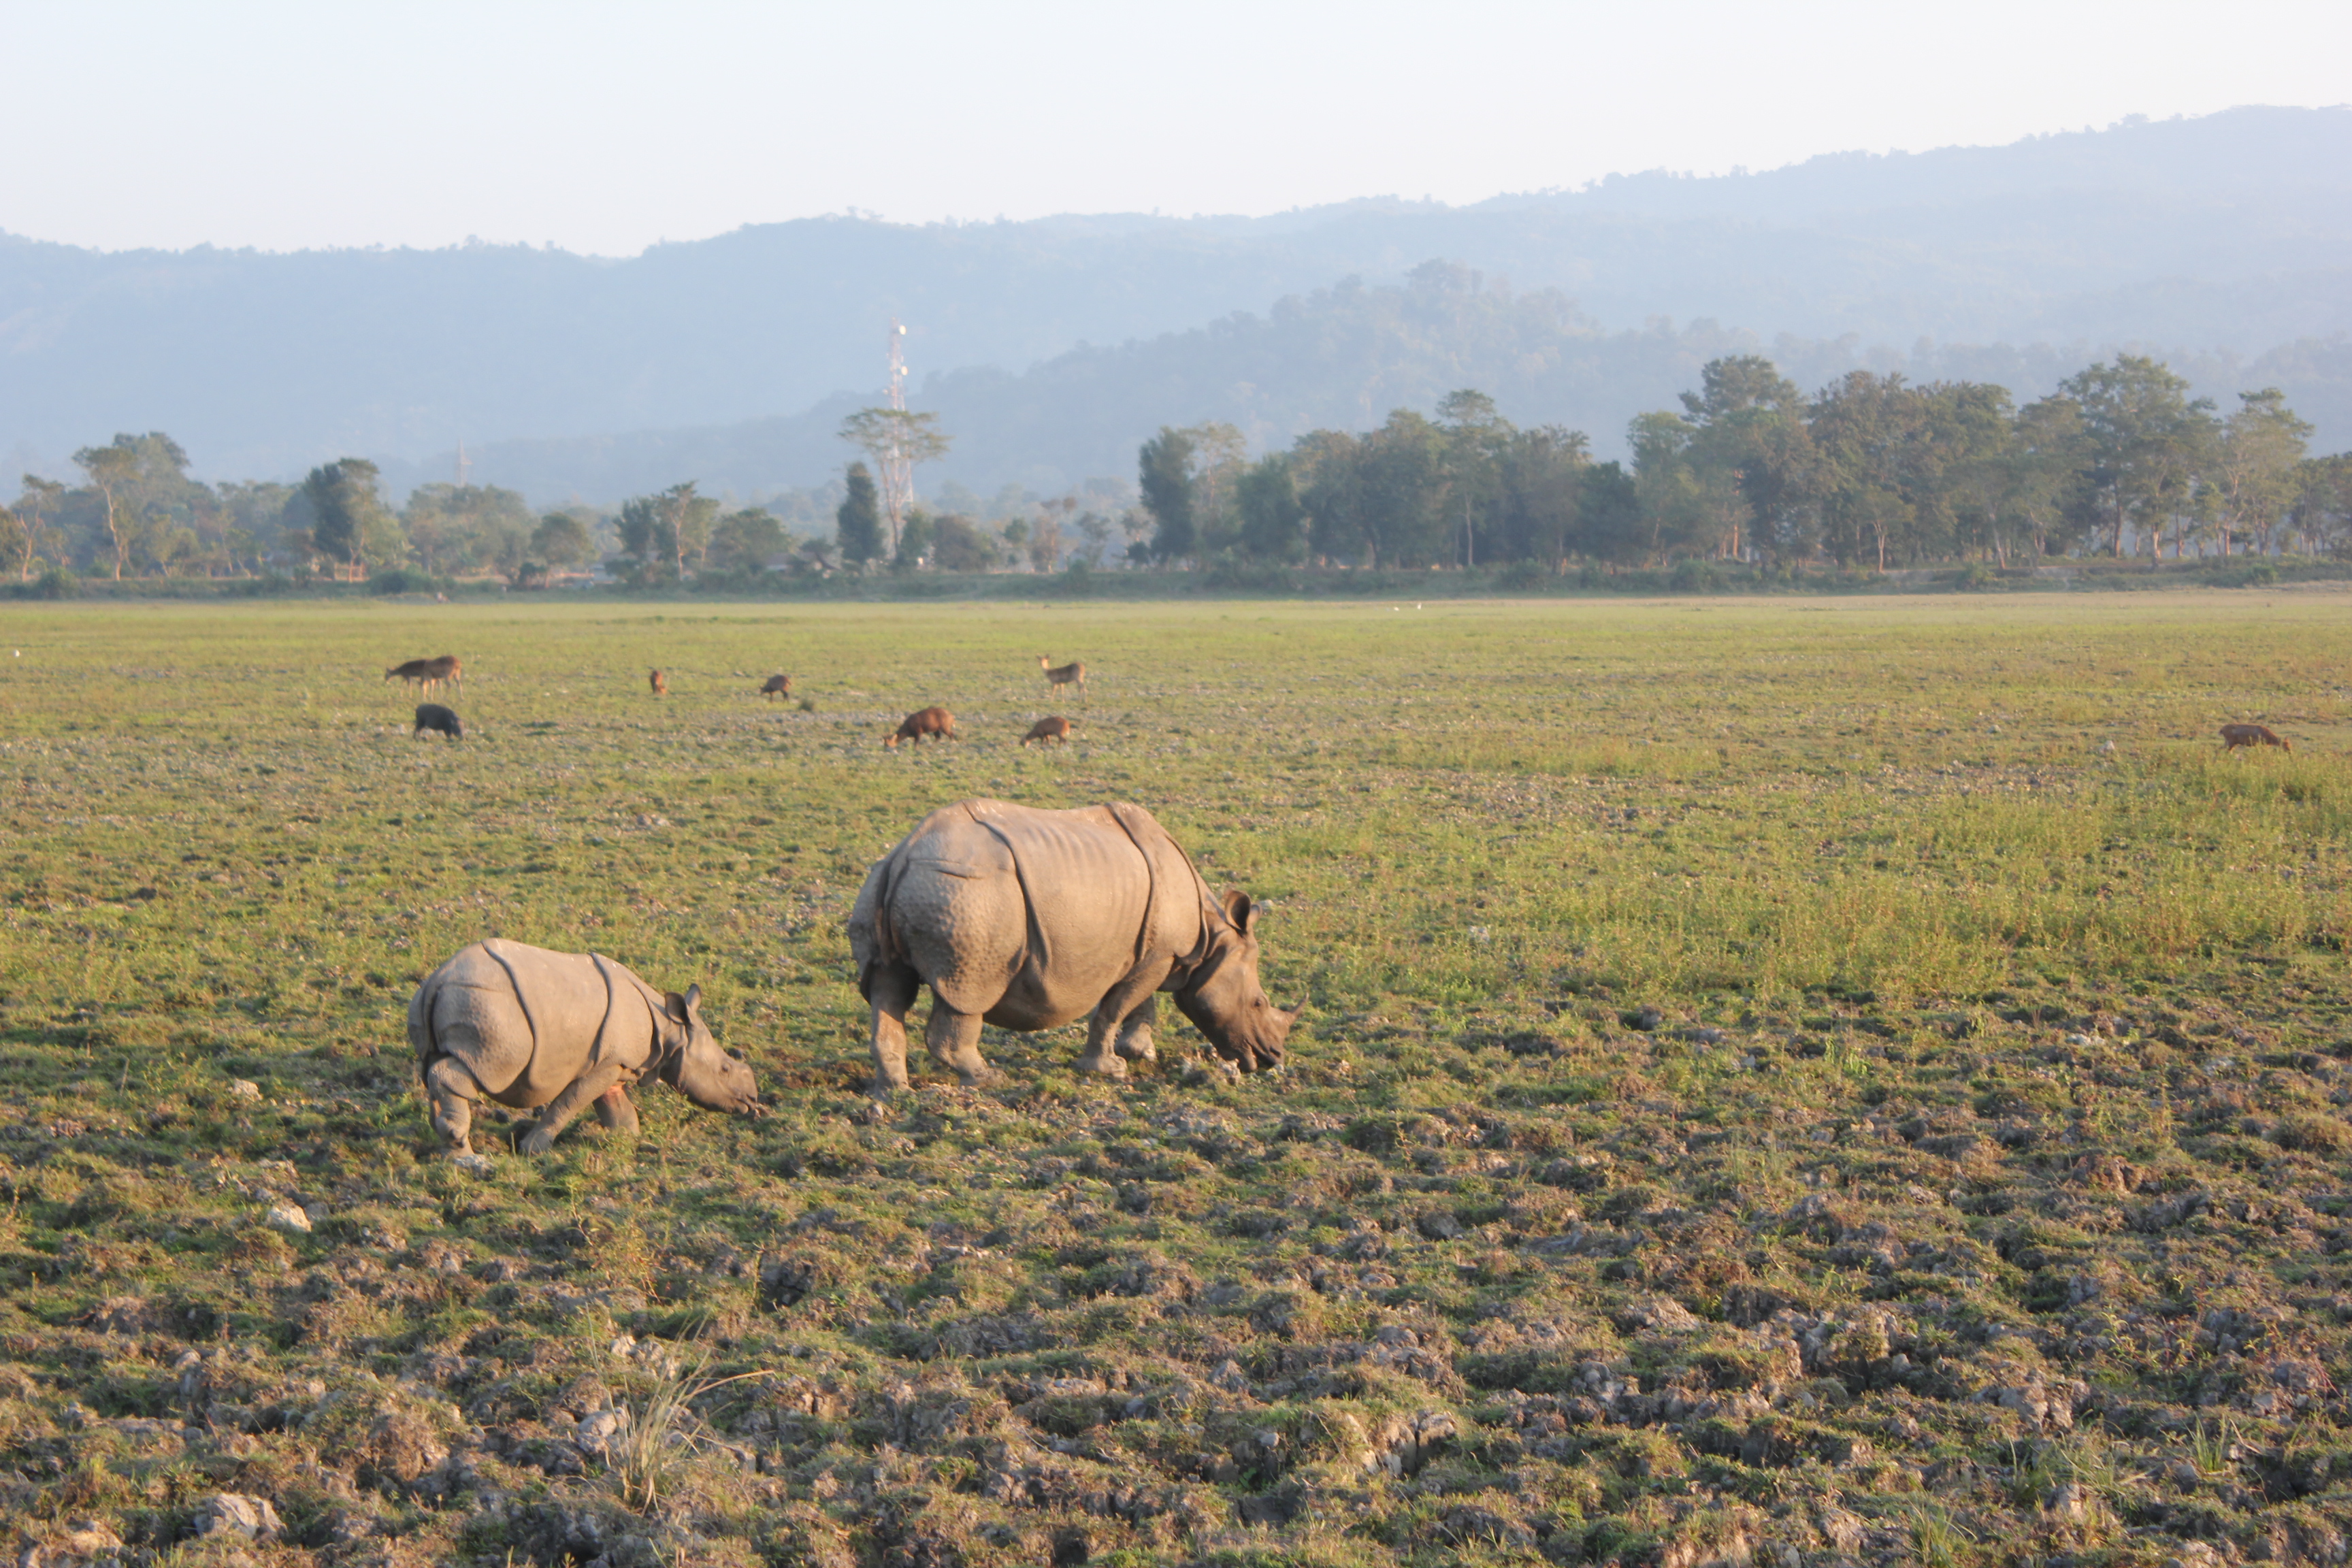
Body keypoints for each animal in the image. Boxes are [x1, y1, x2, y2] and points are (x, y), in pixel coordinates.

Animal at [409, 939, 760, 1156]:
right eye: (724, 1069)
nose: (753, 1100)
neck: (671, 1029)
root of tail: (438, 979)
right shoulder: (607, 1064)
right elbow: (570, 1102)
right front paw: (533, 1150)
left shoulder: (616, 1063)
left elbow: (617, 1108)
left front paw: (627, 1143)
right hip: (487, 1009)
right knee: (469, 1070)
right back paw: (468, 1159)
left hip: (459, 999)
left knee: (434, 1067)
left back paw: (450, 1153)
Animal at [848, 799, 1296, 1092]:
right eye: (1258, 1003)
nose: (1273, 1058)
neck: (1211, 937)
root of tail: (905, 854)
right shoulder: (1159, 955)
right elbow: (1115, 1007)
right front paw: (1110, 1069)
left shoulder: (1152, 952)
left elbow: (1139, 1004)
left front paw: (1141, 1053)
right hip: (965, 893)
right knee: (967, 994)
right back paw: (987, 1079)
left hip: (893, 885)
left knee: (887, 988)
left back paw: (894, 1093)